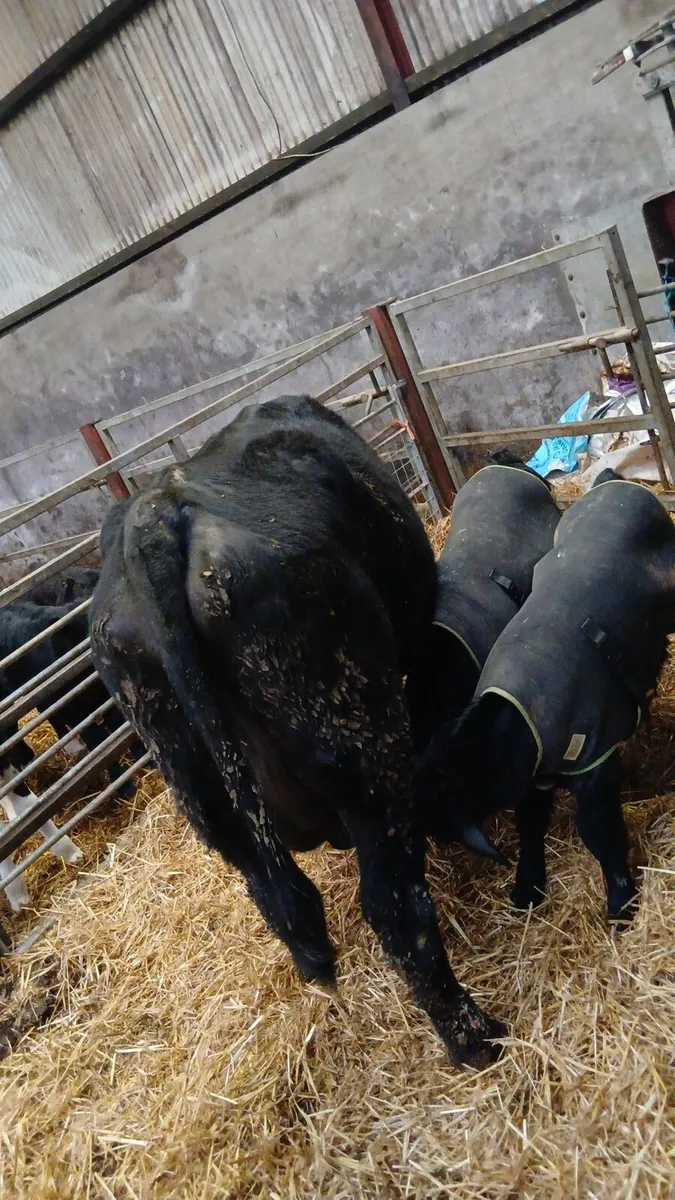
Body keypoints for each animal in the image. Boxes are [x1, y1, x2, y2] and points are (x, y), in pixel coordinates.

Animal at [89, 394, 506, 1067]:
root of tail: (155, 517)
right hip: (361, 740)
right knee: (394, 906)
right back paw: (476, 1036)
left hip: (199, 793)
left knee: (277, 898)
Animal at [420, 469, 675, 922]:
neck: (514, 724)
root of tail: (612, 482)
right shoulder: (533, 777)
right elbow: (530, 823)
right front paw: (526, 888)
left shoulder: (592, 757)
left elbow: (599, 832)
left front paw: (620, 903)